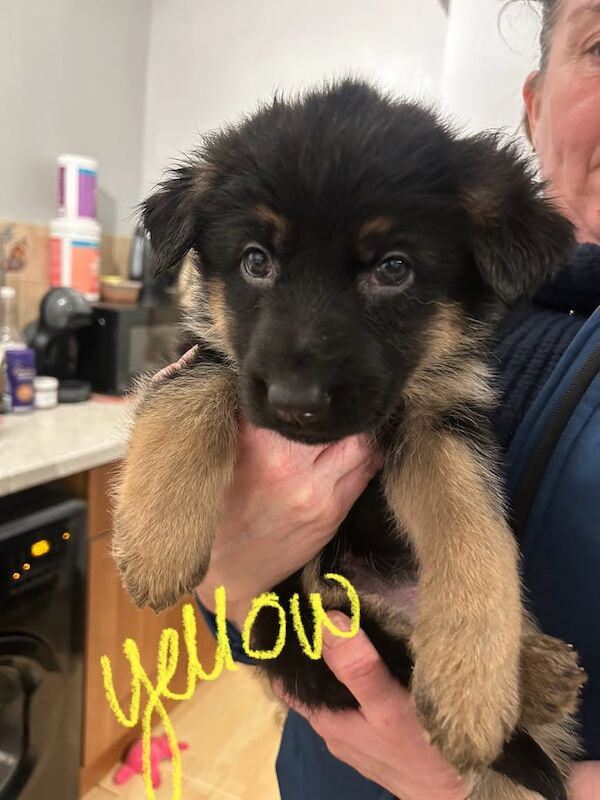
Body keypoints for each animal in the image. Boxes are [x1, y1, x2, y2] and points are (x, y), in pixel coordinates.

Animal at [112, 76, 584, 800]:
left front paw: (472, 683)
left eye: (393, 269)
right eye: (255, 261)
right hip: (311, 605)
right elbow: (193, 392)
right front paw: (157, 545)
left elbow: (474, 533)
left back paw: (528, 671)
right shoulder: (201, 353)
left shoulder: (440, 423)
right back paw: (538, 677)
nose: (295, 404)